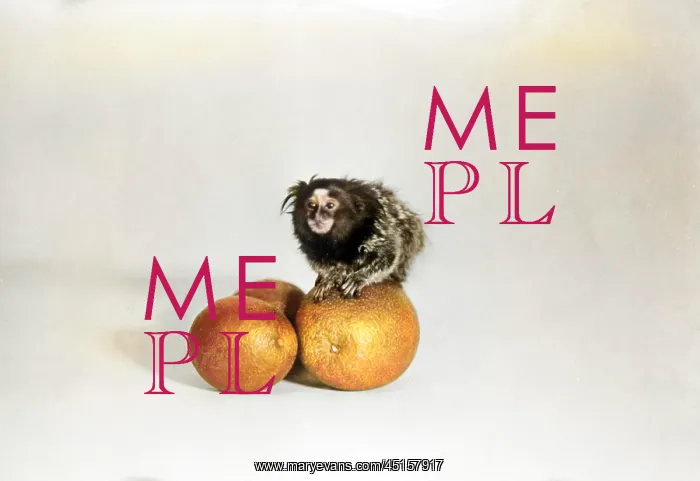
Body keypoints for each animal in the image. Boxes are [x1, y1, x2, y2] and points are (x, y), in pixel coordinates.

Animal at [281, 175, 426, 302]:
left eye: (330, 206)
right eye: (311, 205)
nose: (317, 216)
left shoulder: (377, 230)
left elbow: (387, 255)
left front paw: (358, 277)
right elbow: (320, 264)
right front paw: (332, 277)